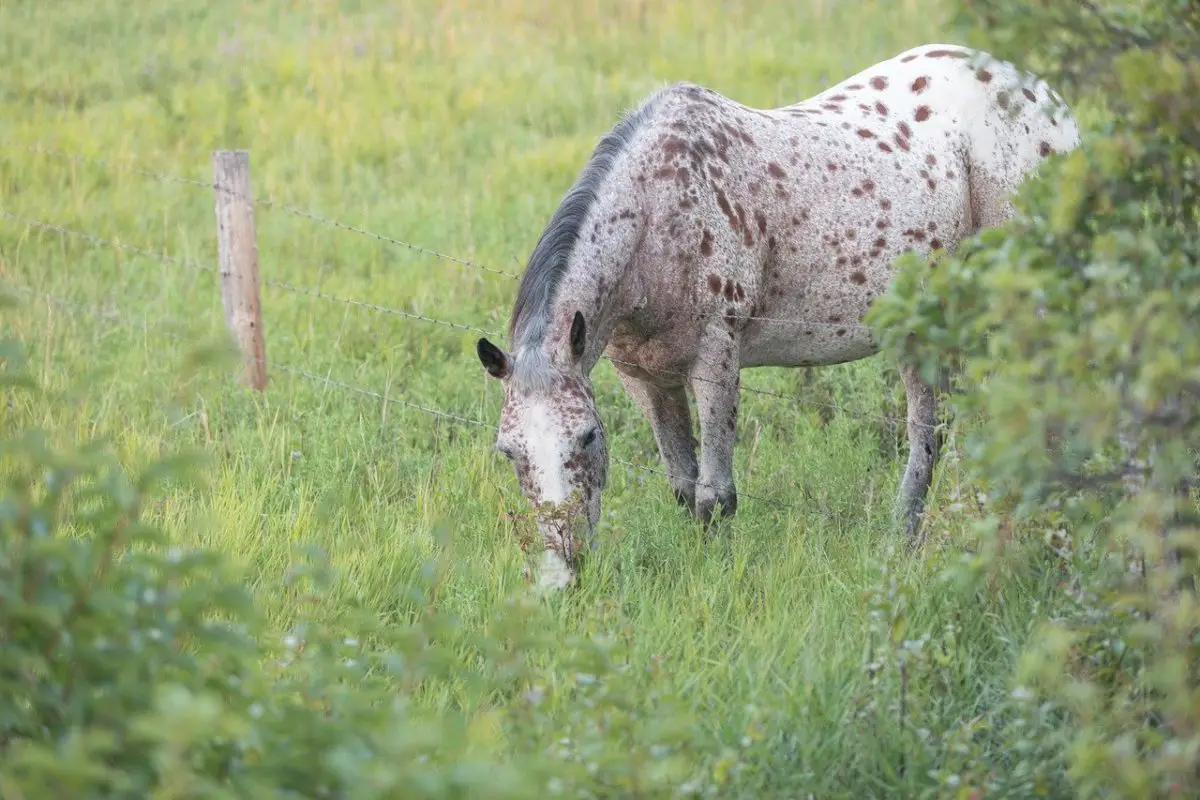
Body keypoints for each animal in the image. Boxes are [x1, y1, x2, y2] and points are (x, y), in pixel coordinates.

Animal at [475, 43, 1080, 594]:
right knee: (928, 436)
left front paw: (715, 580)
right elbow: (682, 484)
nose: (561, 576)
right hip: (922, 328)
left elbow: (715, 495)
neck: (660, 216)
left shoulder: (716, 362)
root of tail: (1045, 97)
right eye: (508, 452)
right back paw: (902, 544)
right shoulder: (644, 378)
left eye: (587, 438)